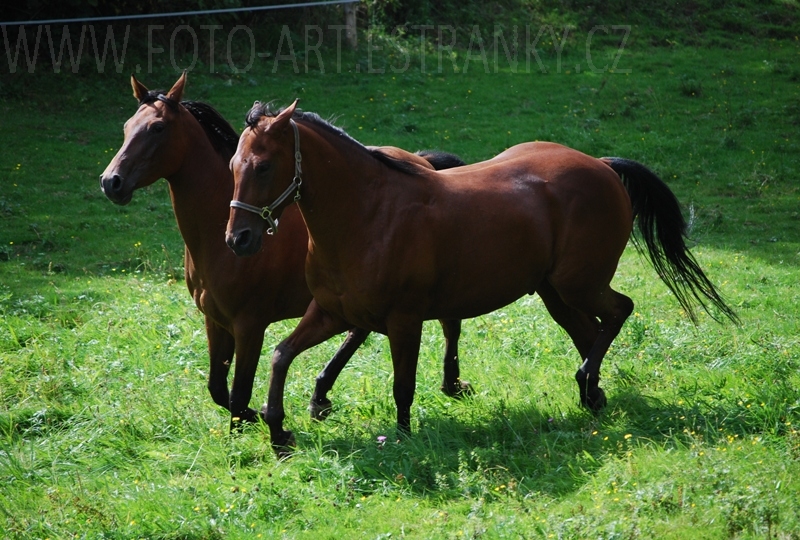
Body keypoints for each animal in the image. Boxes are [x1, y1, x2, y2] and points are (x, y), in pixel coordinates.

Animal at [98, 75, 468, 430]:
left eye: (157, 128)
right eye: (127, 126)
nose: (111, 182)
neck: (217, 241)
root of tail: (422, 162)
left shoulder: (250, 325)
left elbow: (238, 394)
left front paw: (260, 424)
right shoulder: (215, 321)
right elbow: (218, 389)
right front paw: (261, 417)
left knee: (446, 322)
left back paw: (451, 384)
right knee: (361, 330)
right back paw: (321, 396)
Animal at [225, 99, 736, 454]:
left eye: (264, 166)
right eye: (232, 166)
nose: (238, 239)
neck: (369, 215)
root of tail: (602, 166)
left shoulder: (404, 321)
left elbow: (402, 385)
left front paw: (403, 438)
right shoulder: (332, 313)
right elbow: (281, 355)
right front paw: (278, 428)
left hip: (579, 284)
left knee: (618, 312)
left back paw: (586, 381)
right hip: (555, 292)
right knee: (590, 332)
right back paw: (591, 393)